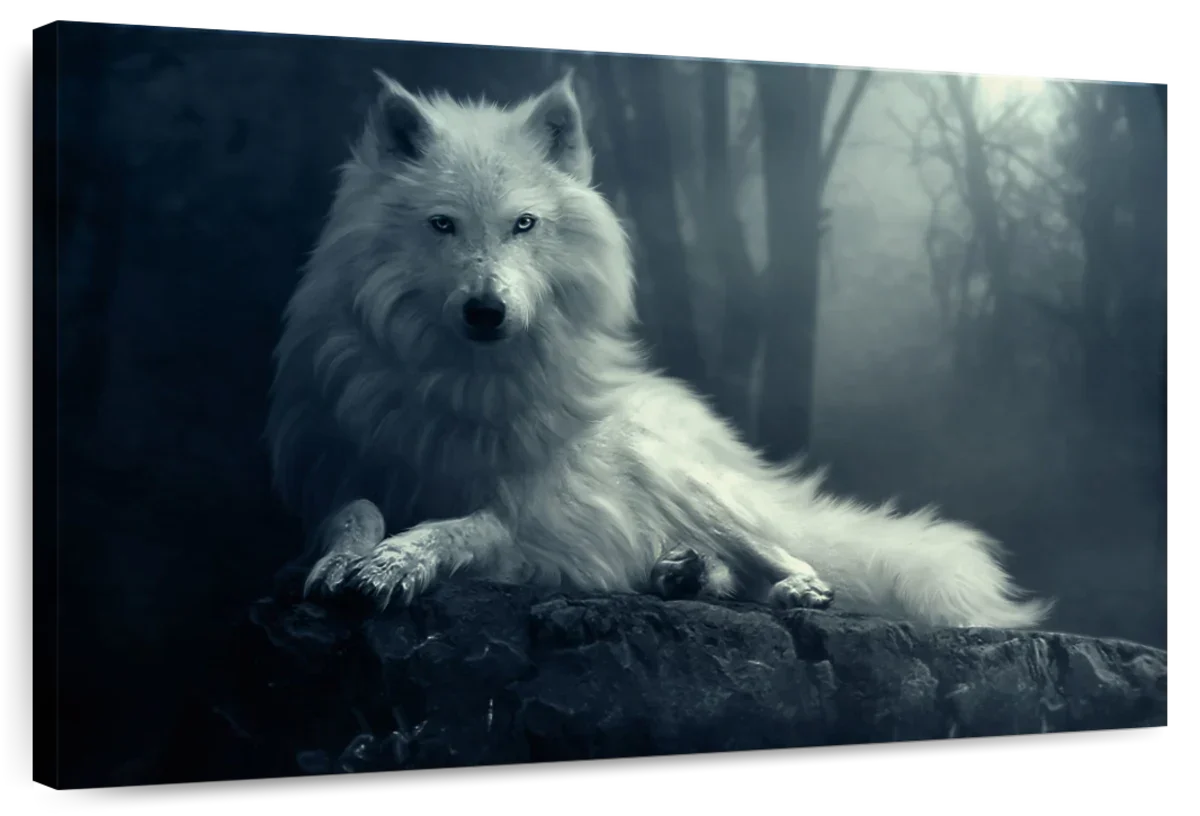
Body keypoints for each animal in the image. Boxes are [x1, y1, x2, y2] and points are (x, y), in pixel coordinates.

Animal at [265, 68, 1052, 630]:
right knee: (717, 567)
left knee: (780, 549)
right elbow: (354, 512)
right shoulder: (335, 474)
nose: (487, 311)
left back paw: (789, 585)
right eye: (442, 224)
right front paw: (343, 562)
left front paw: (395, 562)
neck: (464, 382)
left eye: (524, 224)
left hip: (684, 481)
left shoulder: (529, 515)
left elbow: (460, 527)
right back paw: (683, 573)